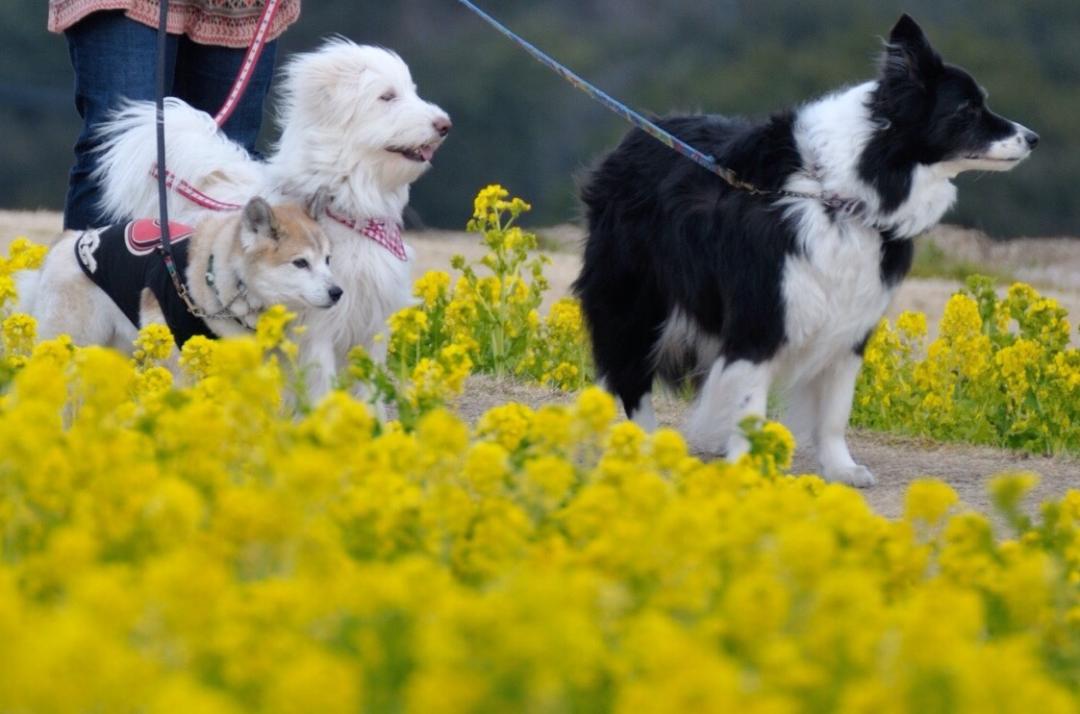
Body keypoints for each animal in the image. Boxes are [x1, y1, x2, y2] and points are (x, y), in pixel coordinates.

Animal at [90, 38, 449, 397]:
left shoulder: (372, 323)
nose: (444, 124)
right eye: (387, 96)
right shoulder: (315, 330)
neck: (348, 207)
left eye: (412, 91)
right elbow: (321, 390)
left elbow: (368, 393)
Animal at [574, 15, 1036, 483]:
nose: (1032, 137)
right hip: (635, 297)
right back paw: (648, 447)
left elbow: (834, 411)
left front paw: (843, 470)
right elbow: (749, 402)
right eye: (967, 110)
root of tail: (630, 140)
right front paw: (749, 467)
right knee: (631, 376)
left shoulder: (850, 321)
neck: (839, 194)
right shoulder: (762, 313)